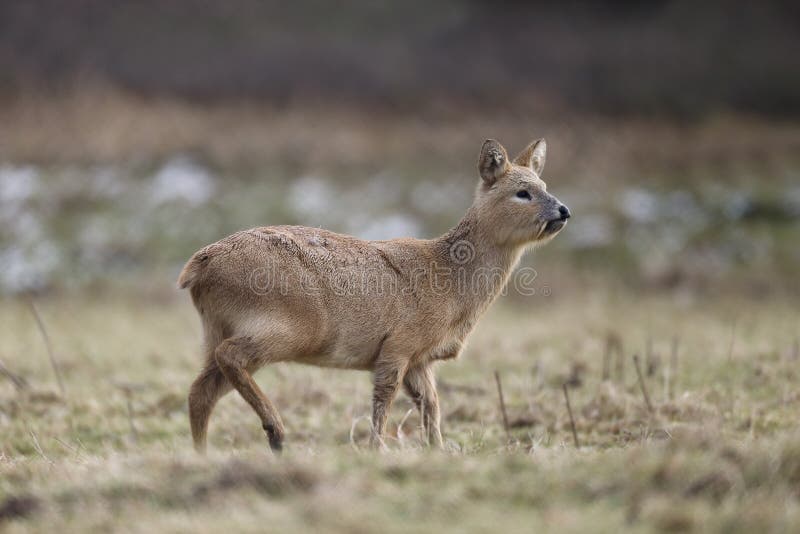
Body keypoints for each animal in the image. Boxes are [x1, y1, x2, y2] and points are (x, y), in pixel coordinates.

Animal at [180, 138, 568, 452]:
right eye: (522, 193)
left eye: (544, 184)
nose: (564, 210)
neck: (450, 282)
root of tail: (199, 265)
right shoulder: (398, 344)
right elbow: (385, 399)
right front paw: (376, 449)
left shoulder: (420, 359)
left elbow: (431, 405)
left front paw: (438, 451)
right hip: (289, 325)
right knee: (229, 358)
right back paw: (276, 431)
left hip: (219, 328)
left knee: (201, 389)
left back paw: (203, 454)